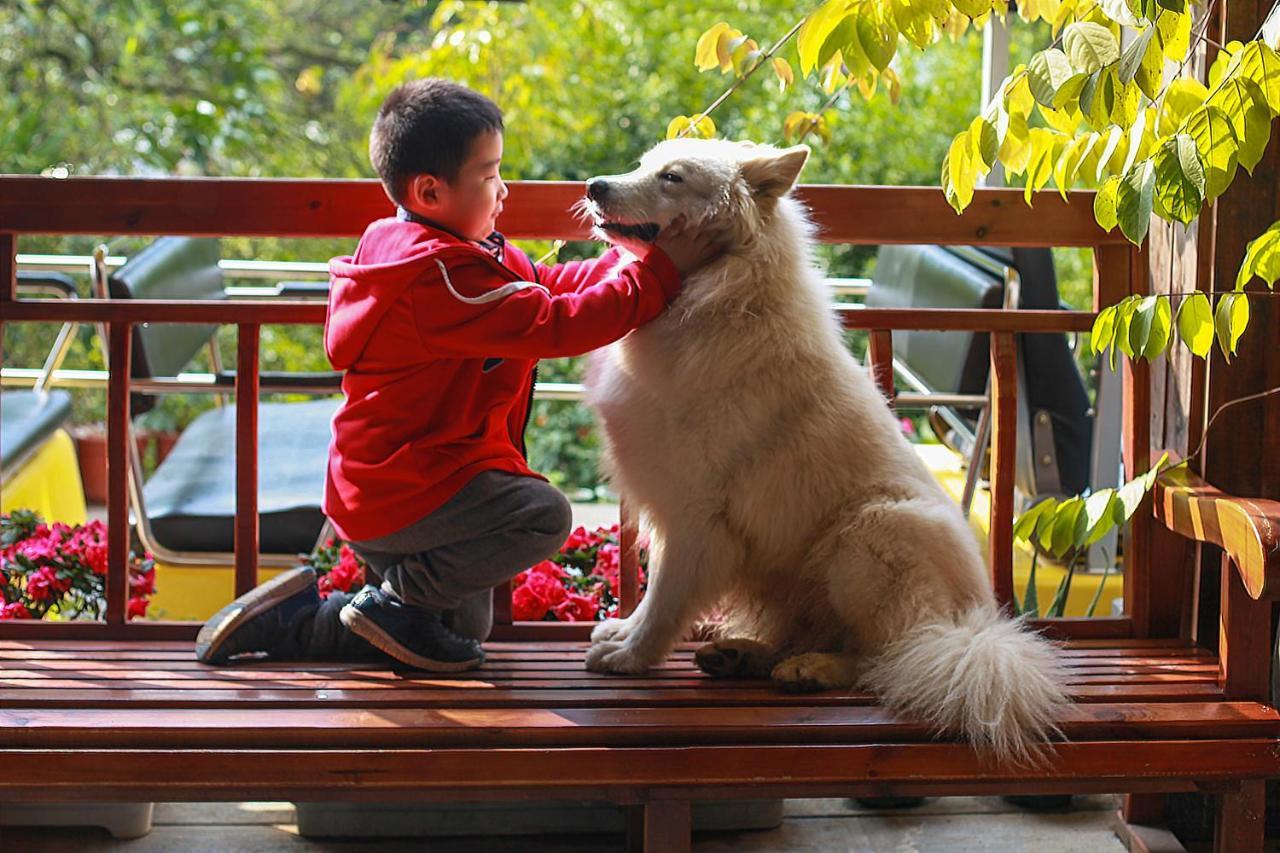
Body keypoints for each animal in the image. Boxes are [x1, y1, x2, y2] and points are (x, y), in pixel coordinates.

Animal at [576, 136, 1064, 758]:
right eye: (642, 165)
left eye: (672, 177)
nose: (594, 186)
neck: (719, 295)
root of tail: (973, 631)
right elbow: (652, 595)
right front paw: (626, 633)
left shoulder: (696, 517)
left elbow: (664, 597)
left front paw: (631, 656)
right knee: (820, 639)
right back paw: (741, 655)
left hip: (870, 535)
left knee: (890, 657)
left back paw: (813, 669)